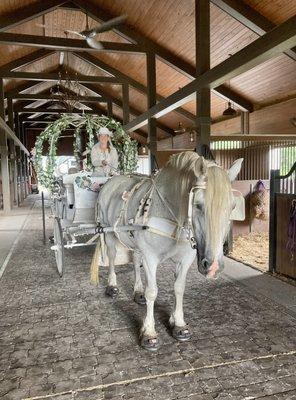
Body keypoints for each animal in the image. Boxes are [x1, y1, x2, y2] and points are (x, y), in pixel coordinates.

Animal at [96, 152, 242, 352]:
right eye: (198, 205)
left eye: (233, 206)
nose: (212, 267)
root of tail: (112, 180)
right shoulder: (150, 258)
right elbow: (152, 292)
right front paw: (149, 333)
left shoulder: (186, 259)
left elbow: (179, 288)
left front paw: (178, 323)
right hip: (108, 232)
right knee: (111, 257)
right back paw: (112, 286)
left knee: (135, 259)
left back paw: (137, 291)